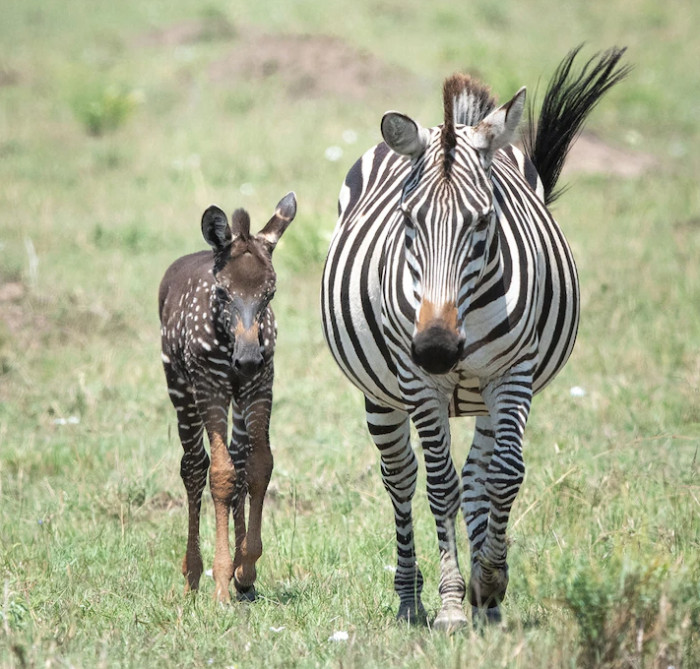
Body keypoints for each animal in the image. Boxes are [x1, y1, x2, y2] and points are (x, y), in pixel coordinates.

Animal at [159, 189, 296, 600]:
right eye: (221, 292)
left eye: (270, 293)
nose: (247, 359)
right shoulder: (211, 386)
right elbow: (220, 475)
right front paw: (221, 579)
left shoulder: (260, 385)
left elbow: (258, 467)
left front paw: (246, 568)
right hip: (180, 388)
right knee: (193, 466)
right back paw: (192, 575)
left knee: (237, 456)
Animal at [322, 45, 628, 628]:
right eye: (407, 220)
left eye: (484, 221)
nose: (437, 349)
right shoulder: (419, 383)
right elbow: (440, 485)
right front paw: (450, 604)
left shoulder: (513, 374)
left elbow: (504, 475)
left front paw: (489, 584)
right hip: (381, 395)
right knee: (401, 477)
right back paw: (410, 599)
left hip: (486, 394)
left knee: (480, 473)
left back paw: (486, 602)